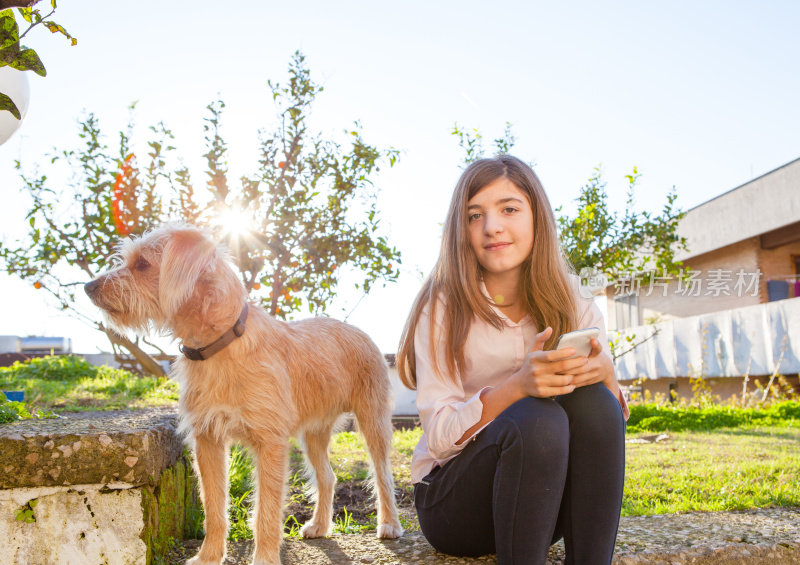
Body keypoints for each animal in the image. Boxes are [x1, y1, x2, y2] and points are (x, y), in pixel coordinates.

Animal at [84, 226, 404, 564]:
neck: (220, 345)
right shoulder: (207, 441)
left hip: (373, 422)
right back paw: (319, 524)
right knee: (327, 476)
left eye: (143, 263)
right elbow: (213, 507)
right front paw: (208, 556)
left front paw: (264, 558)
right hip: (313, 433)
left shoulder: (270, 444)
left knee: (383, 474)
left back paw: (389, 524)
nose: (88, 287)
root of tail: (358, 331)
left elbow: (266, 511)